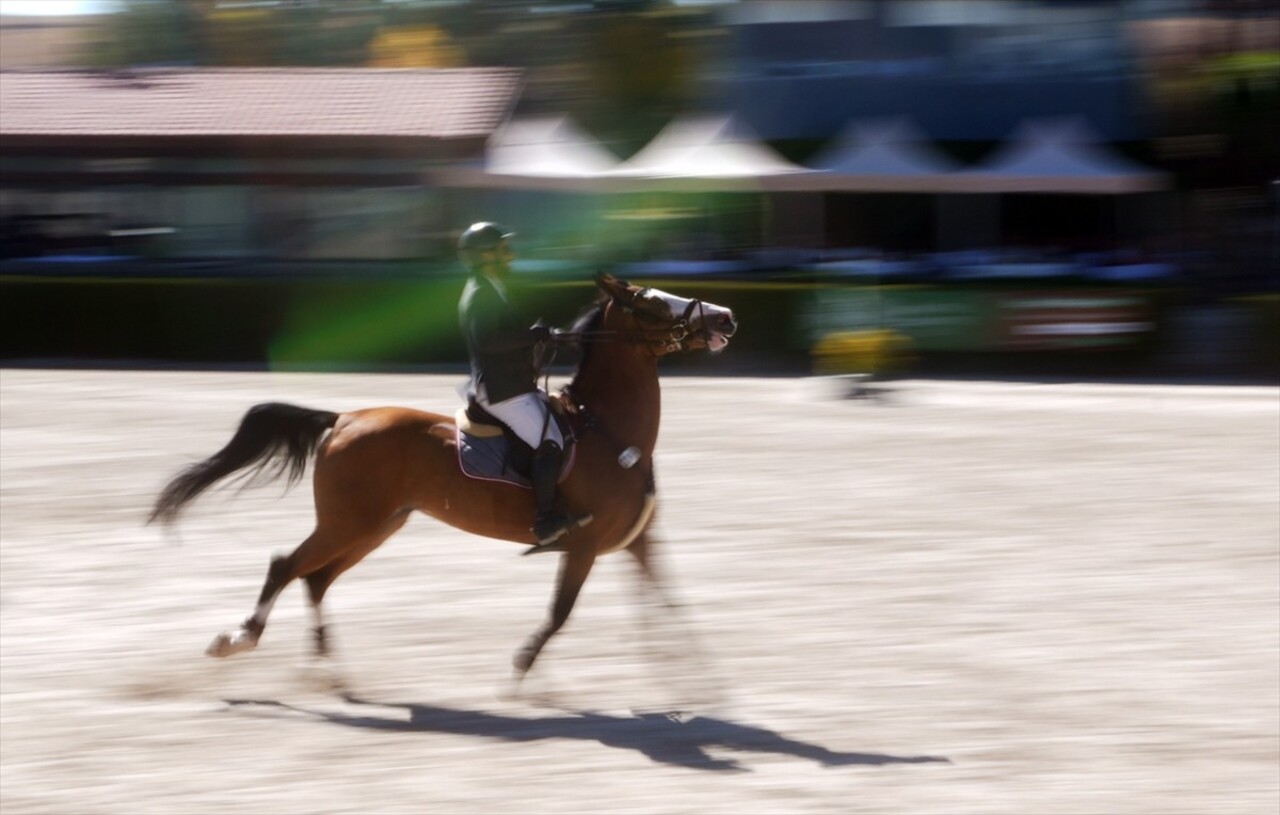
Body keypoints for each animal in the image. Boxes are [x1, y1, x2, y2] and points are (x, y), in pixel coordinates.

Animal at [147, 273, 742, 680]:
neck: (608, 431)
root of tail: (343, 418)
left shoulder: (638, 541)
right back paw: (240, 639)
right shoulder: (585, 543)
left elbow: (669, 604)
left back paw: (325, 667)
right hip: (347, 523)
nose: (726, 316)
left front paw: (696, 684)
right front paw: (522, 672)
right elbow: (560, 612)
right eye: (651, 302)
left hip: (375, 525)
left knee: (314, 579)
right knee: (286, 566)